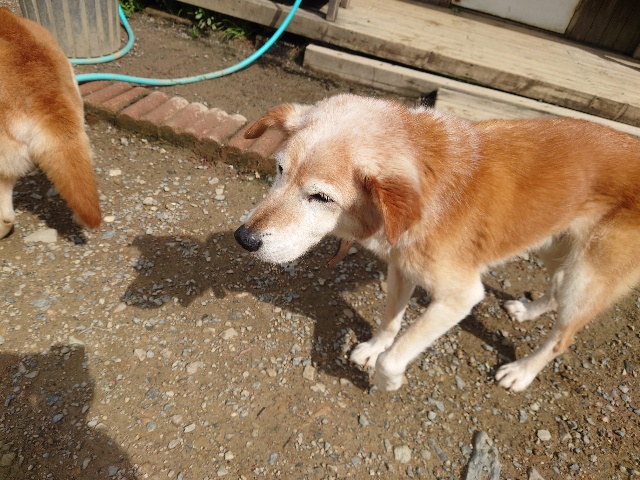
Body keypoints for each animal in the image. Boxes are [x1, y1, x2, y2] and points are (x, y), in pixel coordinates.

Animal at [234, 93, 640, 392]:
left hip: (587, 275)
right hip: (553, 244)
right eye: (279, 169)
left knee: (561, 338)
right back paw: (528, 311)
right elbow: (389, 322)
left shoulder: (459, 297)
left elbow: (395, 355)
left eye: (321, 197)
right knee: (555, 289)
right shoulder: (401, 267)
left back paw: (521, 372)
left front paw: (388, 379)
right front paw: (372, 348)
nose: (244, 238)